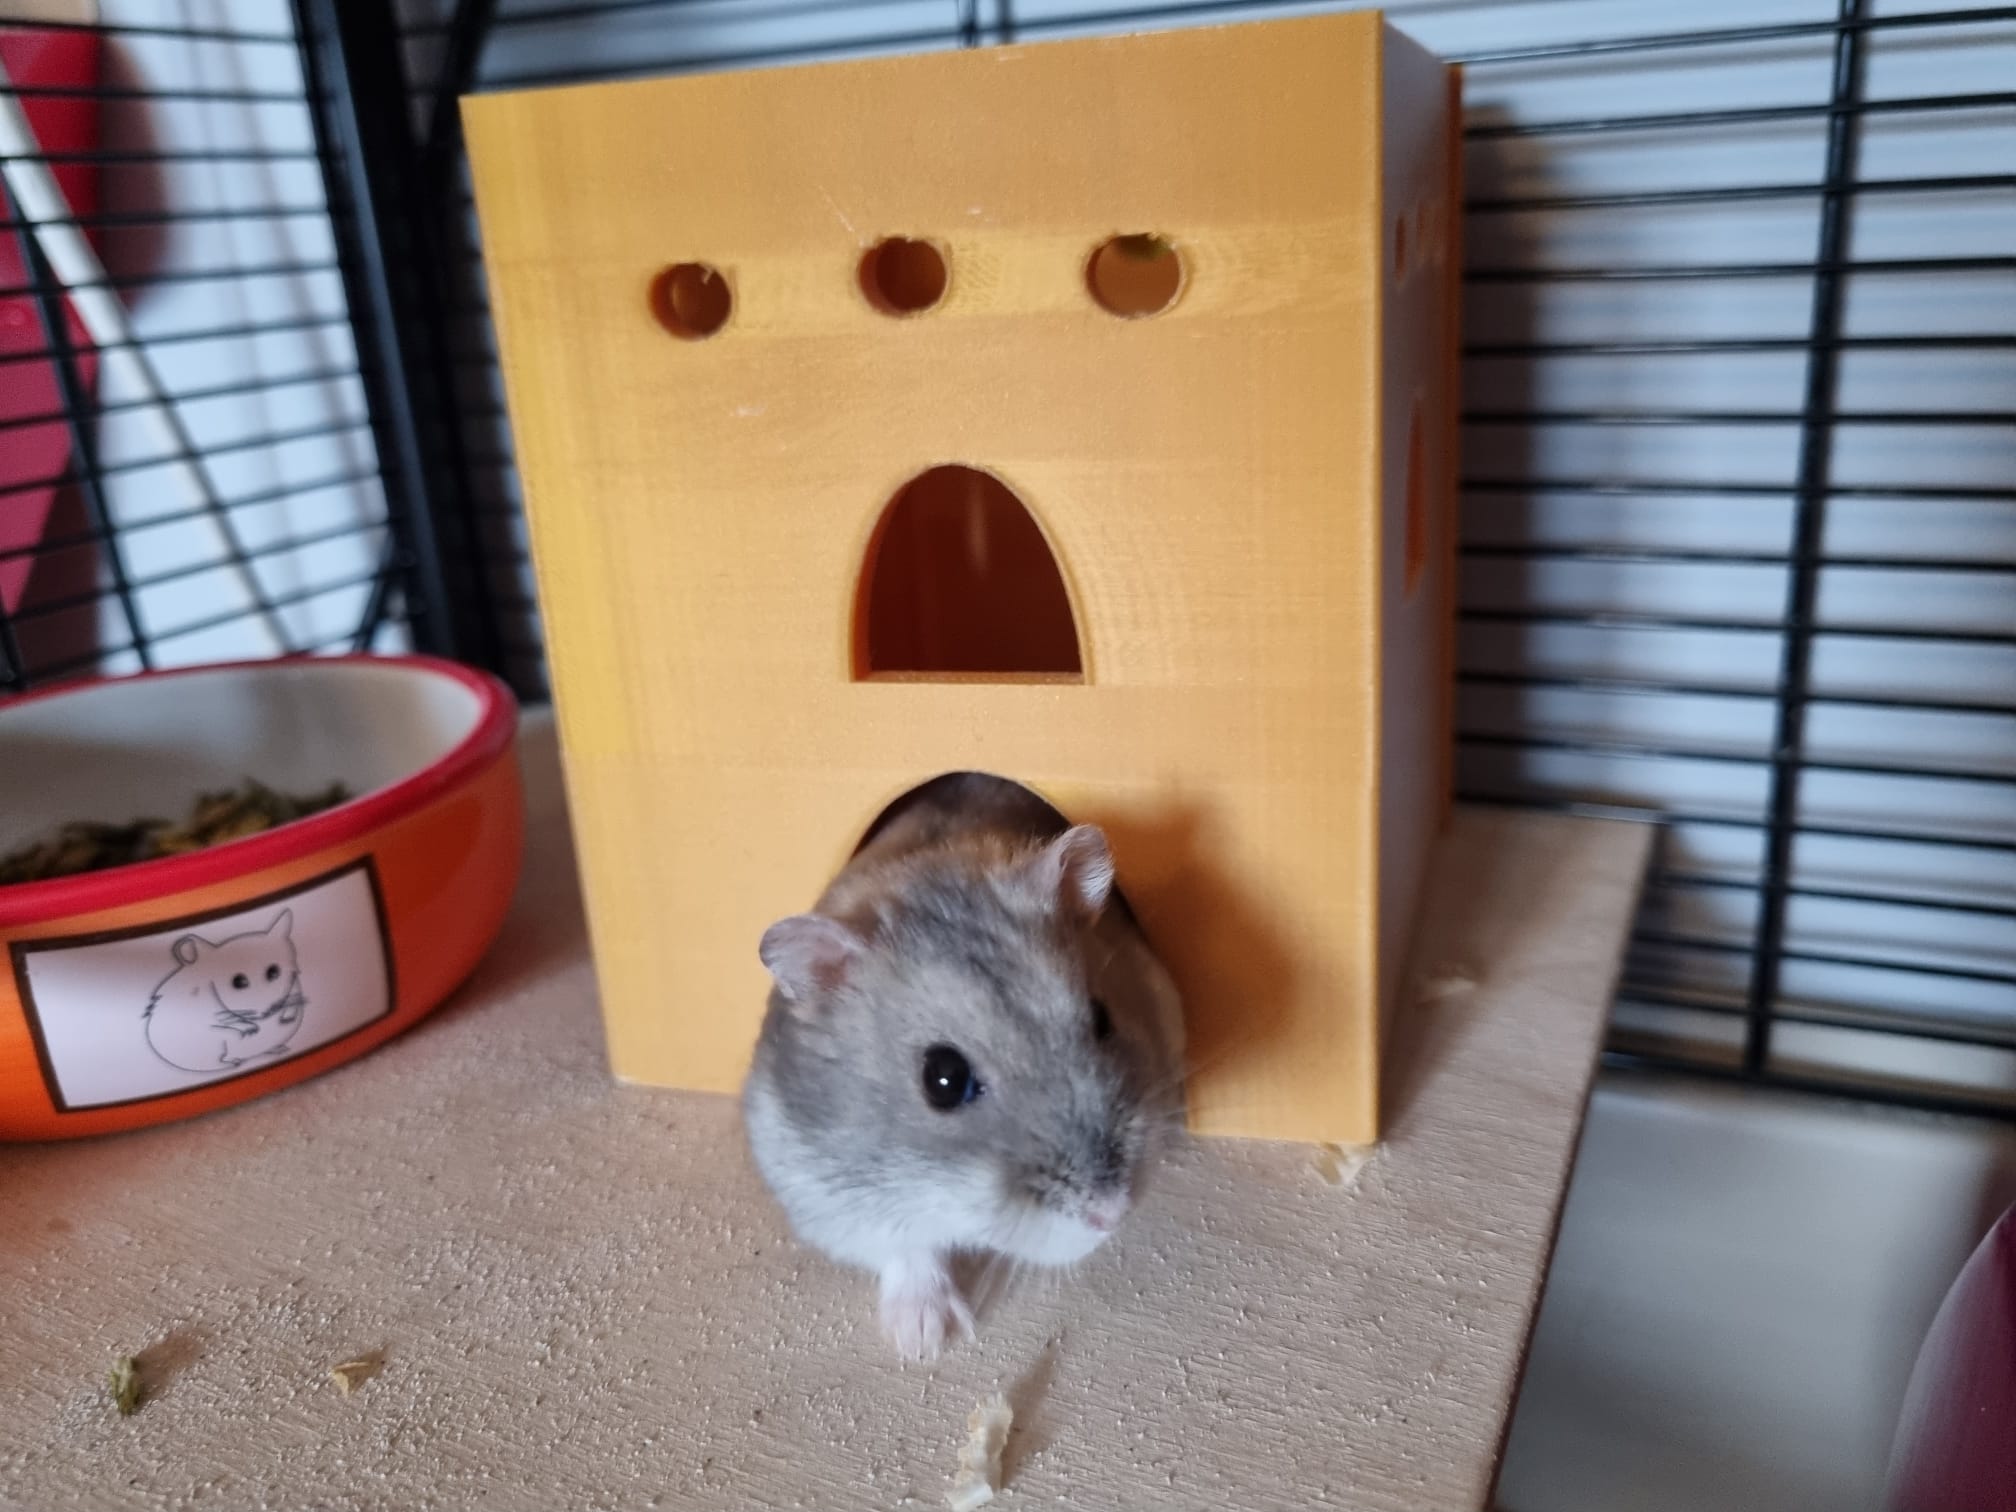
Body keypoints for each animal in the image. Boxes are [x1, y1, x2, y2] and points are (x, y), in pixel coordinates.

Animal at [144, 909, 307, 1074]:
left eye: (274, 972)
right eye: (238, 982)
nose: (267, 1012)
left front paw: (287, 1014)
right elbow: (216, 1021)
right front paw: (250, 1028)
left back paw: (278, 1049)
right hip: (206, 1046)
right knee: (215, 1062)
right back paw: (232, 1062)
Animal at [741, 773, 1185, 1359]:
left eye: (1101, 1017)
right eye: (944, 1080)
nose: (1111, 1214)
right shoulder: (822, 1190)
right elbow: (907, 1249)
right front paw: (926, 1342)